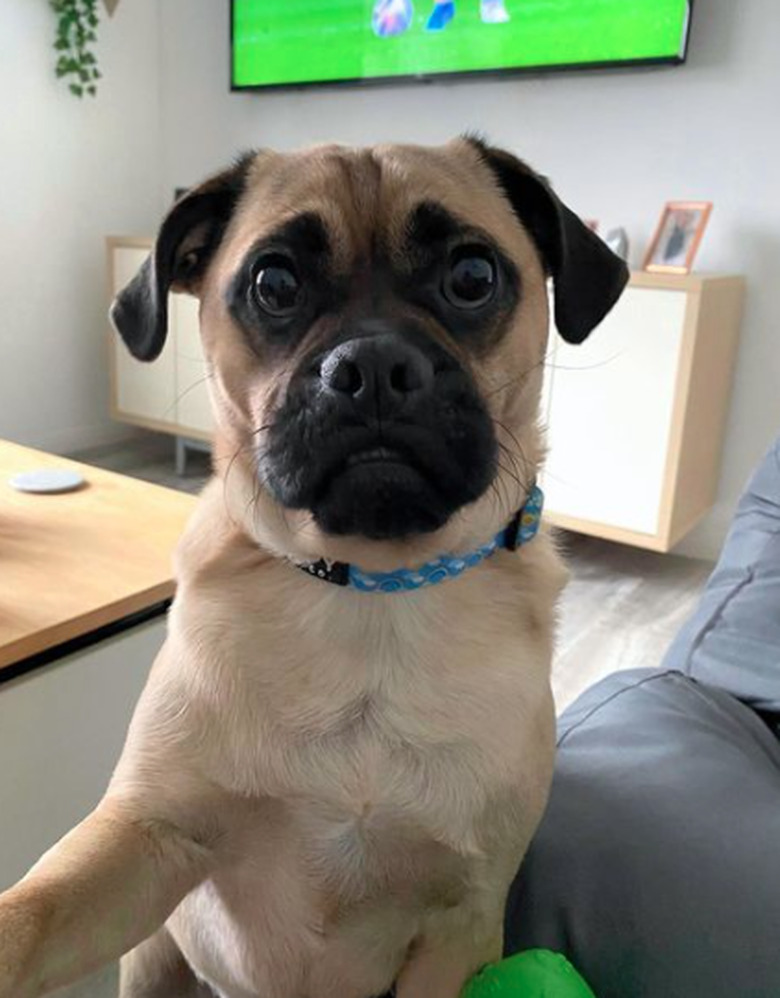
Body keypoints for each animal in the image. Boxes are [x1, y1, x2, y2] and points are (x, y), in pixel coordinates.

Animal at [0, 135, 628, 998]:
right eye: (275, 284)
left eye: (473, 276)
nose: (373, 364)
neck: (373, 591)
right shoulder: (146, 841)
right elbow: (31, 913)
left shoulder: (459, 926)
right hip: (157, 954)